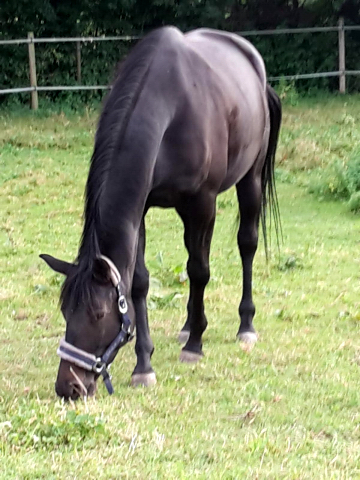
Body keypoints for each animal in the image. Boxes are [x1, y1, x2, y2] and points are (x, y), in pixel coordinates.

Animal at [40, 26, 282, 402]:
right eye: (65, 310)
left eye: (97, 314)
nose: (69, 387)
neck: (172, 108)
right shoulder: (140, 208)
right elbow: (139, 283)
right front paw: (144, 364)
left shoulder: (203, 202)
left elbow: (199, 271)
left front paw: (195, 345)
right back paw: (187, 325)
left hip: (250, 181)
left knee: (246, 245)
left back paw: (244, 325)